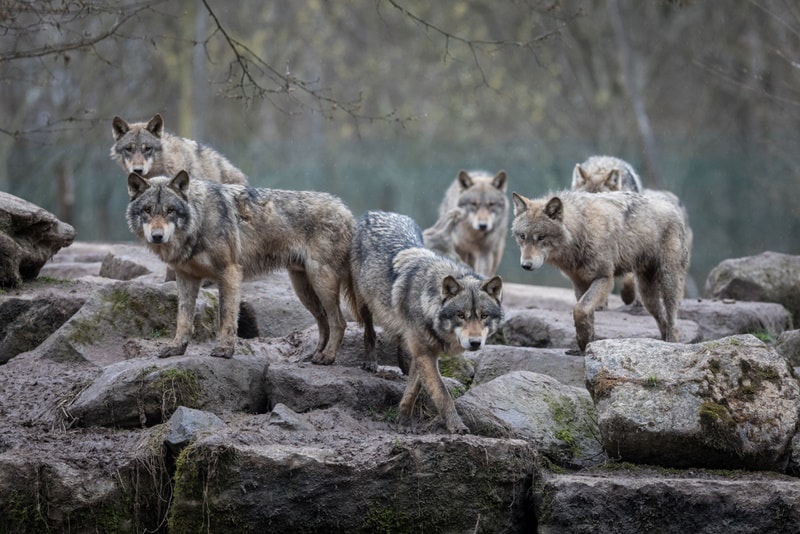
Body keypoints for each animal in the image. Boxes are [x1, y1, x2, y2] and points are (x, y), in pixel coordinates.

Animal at [127, 172, 354, 364]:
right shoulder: (186, 277)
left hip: (321, 282)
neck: (199, 220)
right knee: (324, 321)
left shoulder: (229, 272)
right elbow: (183, 318)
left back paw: (327, 357)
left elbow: (226, 316)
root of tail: (346, 210)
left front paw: (225, 350)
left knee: (339, 322)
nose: (157, 236)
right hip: (303, 289)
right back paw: (315, 355)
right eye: (147, 210)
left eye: (170, 210)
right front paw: (176, 348)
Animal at [348, 209, 500, 436]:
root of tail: (379, 212)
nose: (475, 343)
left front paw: (403, 420)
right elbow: (442, 393)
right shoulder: (425, 354)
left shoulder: (424, 354)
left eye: (483, 316)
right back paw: (371, 361)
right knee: (369, 331)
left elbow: (414, 389)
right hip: (363, 302)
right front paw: (456, 425)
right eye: (461, 315)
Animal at [512, 192, 688, 356]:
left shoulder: (604, 279)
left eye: (541, 237)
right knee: (663, 320)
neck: (582, 230)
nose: (526, 265)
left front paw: (584, 342)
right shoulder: (579, 282)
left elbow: (580, 309)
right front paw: (585, 345)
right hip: (647, 296)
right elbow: (585, 313)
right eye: (522, 236)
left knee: (673, 322)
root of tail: (673, 207)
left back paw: (672, 345)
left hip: (667, 282)